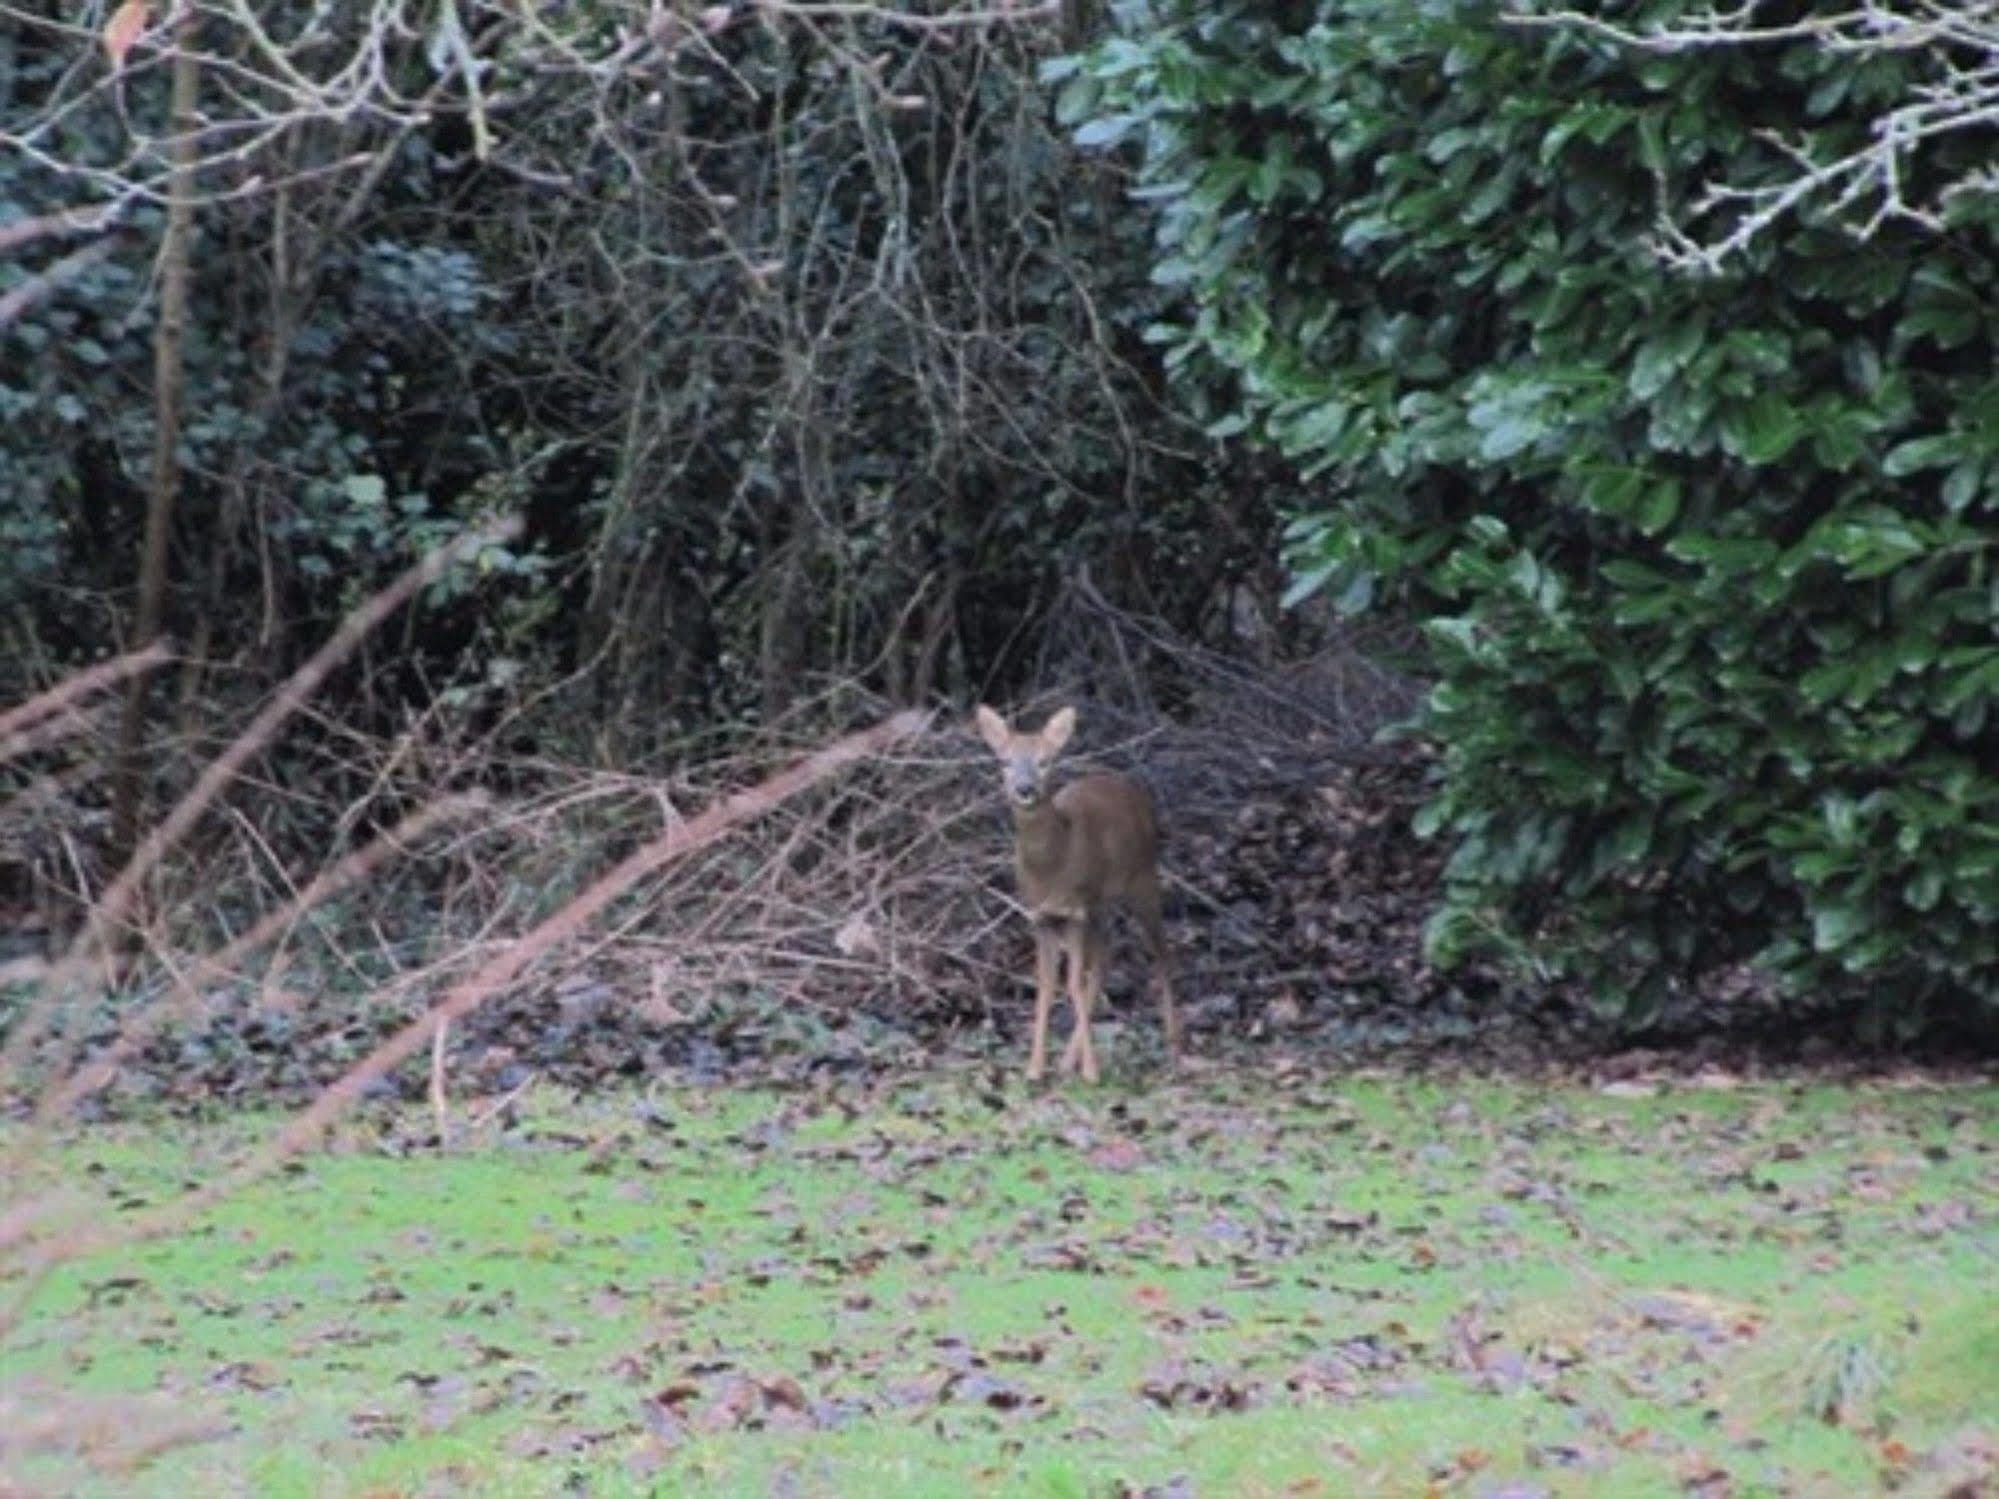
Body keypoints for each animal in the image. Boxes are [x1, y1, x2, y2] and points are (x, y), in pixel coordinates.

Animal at [975, 703, 1175, 1079]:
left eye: (1045, 761)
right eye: (1005, 761)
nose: (1025, 788)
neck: (1052, 867)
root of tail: (1131, 788)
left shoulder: (1075, 911)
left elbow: (1073, 983)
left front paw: (1092, 1072)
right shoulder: (1041, 916)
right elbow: (1046, 986)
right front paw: (1035, 1068)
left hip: (1142, 880)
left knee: (1162, 952)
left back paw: (1175, 1043)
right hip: (1099, 905)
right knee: (1106, 957)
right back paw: (1069, 1060)